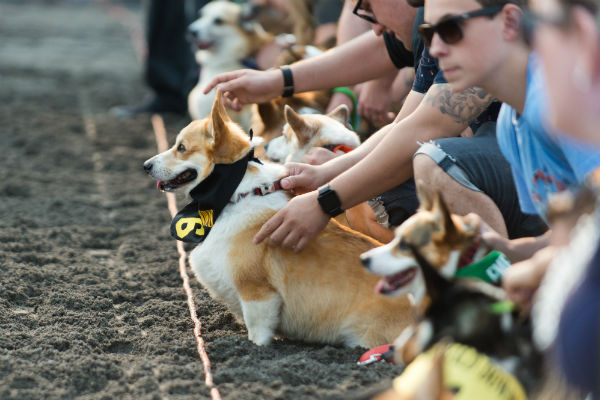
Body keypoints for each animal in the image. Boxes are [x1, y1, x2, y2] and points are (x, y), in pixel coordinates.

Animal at [143, 90, 414, 346]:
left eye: (181, 147)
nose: (145, 165)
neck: (233, 194)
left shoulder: (258, 295)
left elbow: (258, 333)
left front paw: (254, 347)